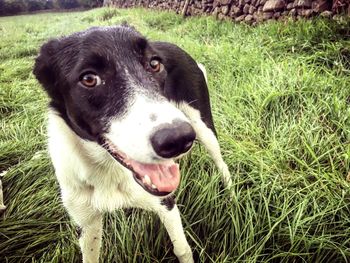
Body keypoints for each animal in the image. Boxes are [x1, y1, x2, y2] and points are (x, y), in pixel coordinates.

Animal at [33, 24, 232, 263]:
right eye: (89, 79)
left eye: (154, 64)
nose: (178, 139)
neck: (108, 169)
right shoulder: (86, 221)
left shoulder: (166, 203)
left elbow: (182, 249)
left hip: (202, 125)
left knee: (221, 162)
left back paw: (232, 195)